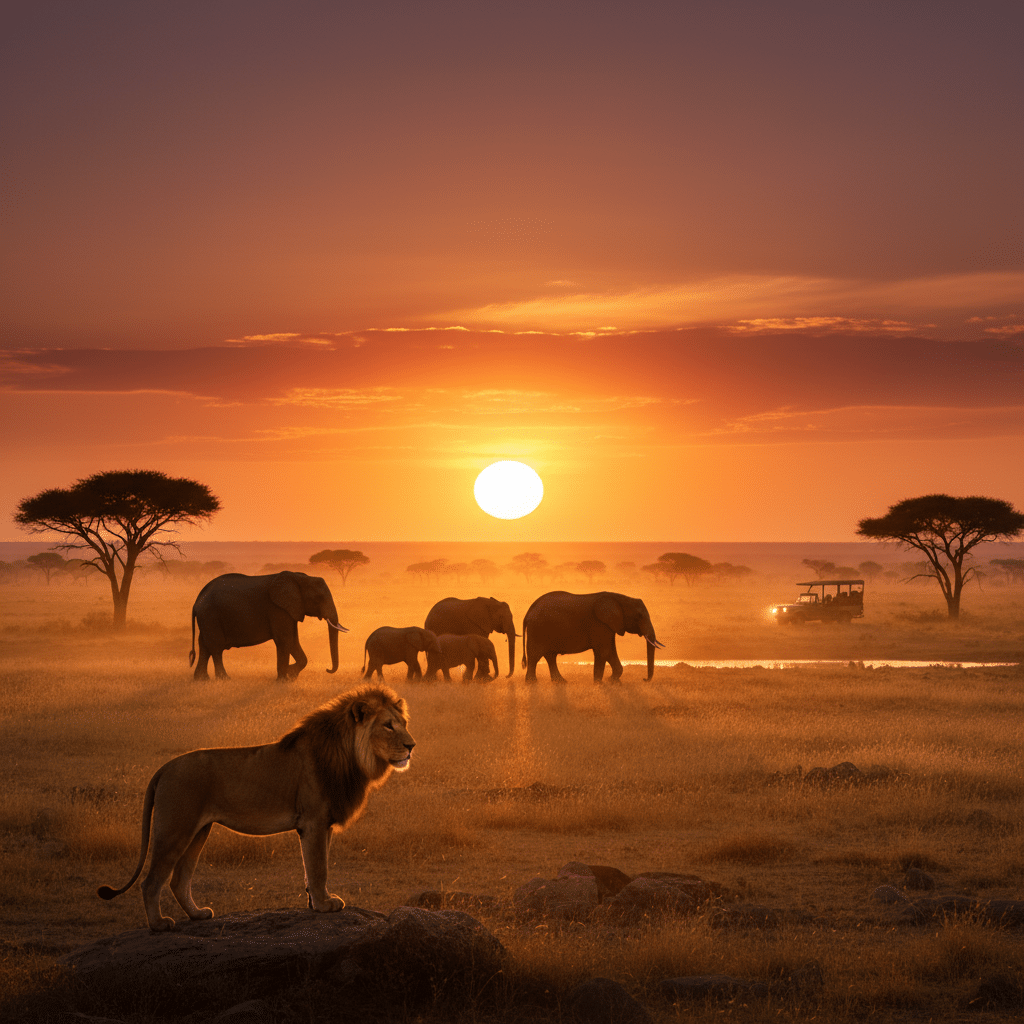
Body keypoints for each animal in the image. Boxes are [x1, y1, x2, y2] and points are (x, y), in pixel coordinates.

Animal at [97, 685, 415, 931]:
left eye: (403, 723)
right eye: (388, 725)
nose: (412, 746)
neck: (351, 757)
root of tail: (164, 768)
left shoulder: (323, 824)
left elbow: (313, 868)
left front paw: (315, 903)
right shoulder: (313, 821)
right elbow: (318, 867)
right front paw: (325, 905)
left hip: (199, 831)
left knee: (178, 880)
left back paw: (198, 915)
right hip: (175, 829)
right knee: (151, 882)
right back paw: (159, 924)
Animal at [189, 572, 347, 681]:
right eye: (319, 598)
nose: (327, 669)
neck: (299, 577)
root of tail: (196, 601)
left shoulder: (290, 610)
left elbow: (293, 640)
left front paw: (291, 675)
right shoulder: (277, 608)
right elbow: (284, 640)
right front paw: (283, 680)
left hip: (207, 618)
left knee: (204, 646)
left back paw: (201, 680)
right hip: (210, 615)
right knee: (216, 647)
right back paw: (224, 679)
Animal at [521, 591, 664, 682]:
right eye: (639, 616)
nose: (644, 679)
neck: (620, 598)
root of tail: (528, 613)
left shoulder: (608, 625)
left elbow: (610, 650)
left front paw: (610, 681)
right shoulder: (600, 623)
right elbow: (605, 651)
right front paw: (600, 682)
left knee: (550, 656)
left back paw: (560, 681)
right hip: (537, 630)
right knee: (535, 656)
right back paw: (532, 682)